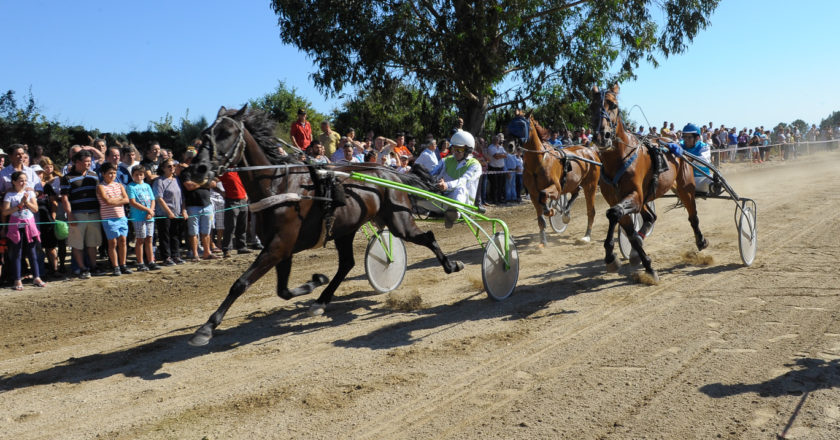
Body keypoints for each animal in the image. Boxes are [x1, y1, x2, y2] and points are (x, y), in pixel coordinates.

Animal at [520, 114, 600, 248]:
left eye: (522, 125)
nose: (509, 144)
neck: (538, 163)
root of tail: (591, 150)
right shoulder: (532, 193)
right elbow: (540, 217)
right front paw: (543, 242)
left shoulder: (556, 188)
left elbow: (544, 195)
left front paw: (549, 210)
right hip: (573, 182)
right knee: (575, 192)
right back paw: (566, 214)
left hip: (590, 185)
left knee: (591, 211)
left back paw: (586, 236)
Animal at [592, 84, 708, 280]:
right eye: (590, 106)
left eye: (613, 105)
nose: (602, 136)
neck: (619, 159)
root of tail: (675, 144)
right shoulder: (618, 198)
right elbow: (623, 224)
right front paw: (627, 259)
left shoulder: (634, 195)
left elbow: (614, 214)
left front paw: (618, 257)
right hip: (647, 196)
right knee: (650, 217)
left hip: (685, 187)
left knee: (693, 215)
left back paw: (701, 241)